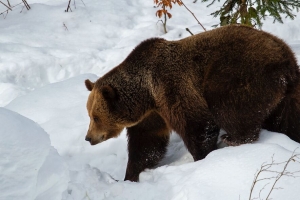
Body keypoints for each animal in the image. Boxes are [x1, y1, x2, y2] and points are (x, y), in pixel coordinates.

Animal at [84, 24, 300, 182]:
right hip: (285, 97)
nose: (88, 138)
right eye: (90, 115)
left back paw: (234, 138)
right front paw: (130, 175)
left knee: (229, 108)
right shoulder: (152, 114)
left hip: (238, 74)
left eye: (96, 117)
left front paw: (202, 157)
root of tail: (286, 62)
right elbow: (147, 144)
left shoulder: (172, 86)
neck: (147, 93)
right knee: (287, 122)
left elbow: (198, 124)